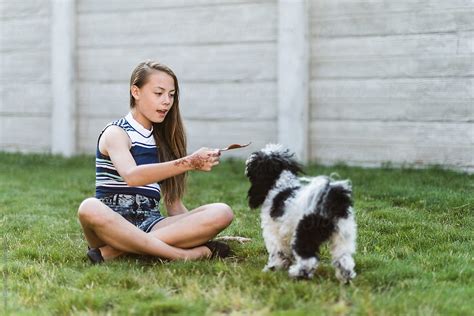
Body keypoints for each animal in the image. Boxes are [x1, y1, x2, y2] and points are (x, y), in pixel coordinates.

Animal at [246, 144, 358, 282]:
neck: (281, 185)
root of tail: (332, 199)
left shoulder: (273, 232)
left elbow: (277, 252)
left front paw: (272, 268)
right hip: (343, 235)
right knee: (344, 258)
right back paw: (346, 278)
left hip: (305, 233)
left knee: (308, 258)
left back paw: (298, 274)